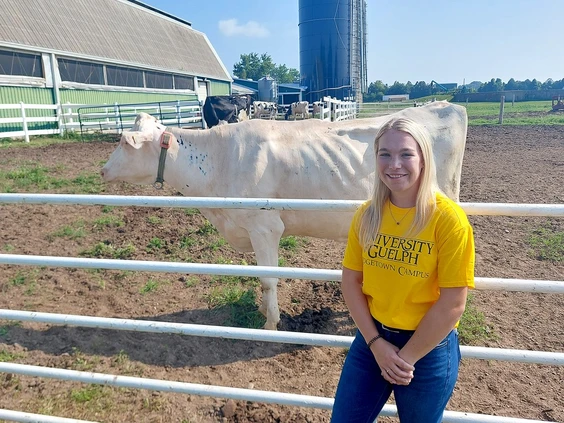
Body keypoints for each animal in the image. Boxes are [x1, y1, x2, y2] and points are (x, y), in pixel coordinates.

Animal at [100, 102, 468, 332]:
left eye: (123, 142)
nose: (102, 170)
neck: (219, 161)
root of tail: (443, 106)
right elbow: (262, 279)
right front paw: (264, 310)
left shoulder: (265, 227)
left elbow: (269, 279)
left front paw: (270, 323)